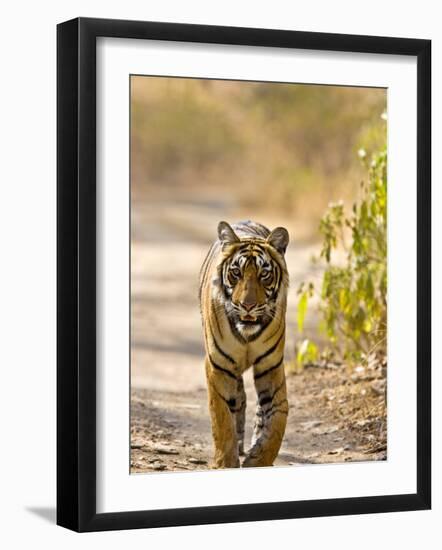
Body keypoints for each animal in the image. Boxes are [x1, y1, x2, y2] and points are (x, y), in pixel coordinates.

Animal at [199, 221, 290, 470]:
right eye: (236, 273)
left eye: (264, 274)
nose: (247, 305)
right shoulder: (218, 366)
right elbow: (221, 416)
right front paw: (225, 462)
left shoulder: (271, 366)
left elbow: (278, 416)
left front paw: (259, 459)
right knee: (237, 400)